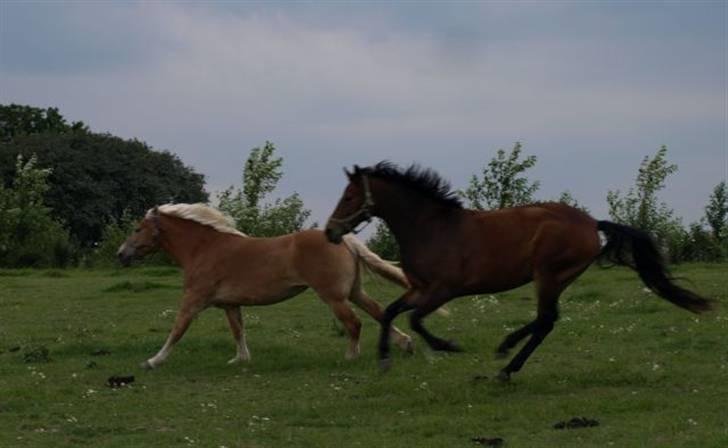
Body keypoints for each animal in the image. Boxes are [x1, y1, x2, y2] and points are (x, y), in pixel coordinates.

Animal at [119, 203, 416, 368]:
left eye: (137, 228)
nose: (121, 254)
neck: (205, 249)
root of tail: (344, 240)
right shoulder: (230, 305)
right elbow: (238, 331)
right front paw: (240, 360)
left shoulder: (194, 300)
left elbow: (177, 330)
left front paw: (153, 361)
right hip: (353, 292)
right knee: (379, 312)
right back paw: (405, 345)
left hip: (334, 296)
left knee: (354, 323)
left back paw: (351, 357)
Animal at [322, 163, 712, 380]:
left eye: (349, 197)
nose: (330, 232)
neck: (432, 229)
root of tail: (591, 223)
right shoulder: (419, 289)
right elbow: (390, 311)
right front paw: (384, 359)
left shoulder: (443, 290)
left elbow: (416, 320)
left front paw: (448, 345)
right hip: (556, 278)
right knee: (546, 319)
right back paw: (506, 350)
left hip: (548, 274)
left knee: (546, 320)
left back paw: (506, 368)